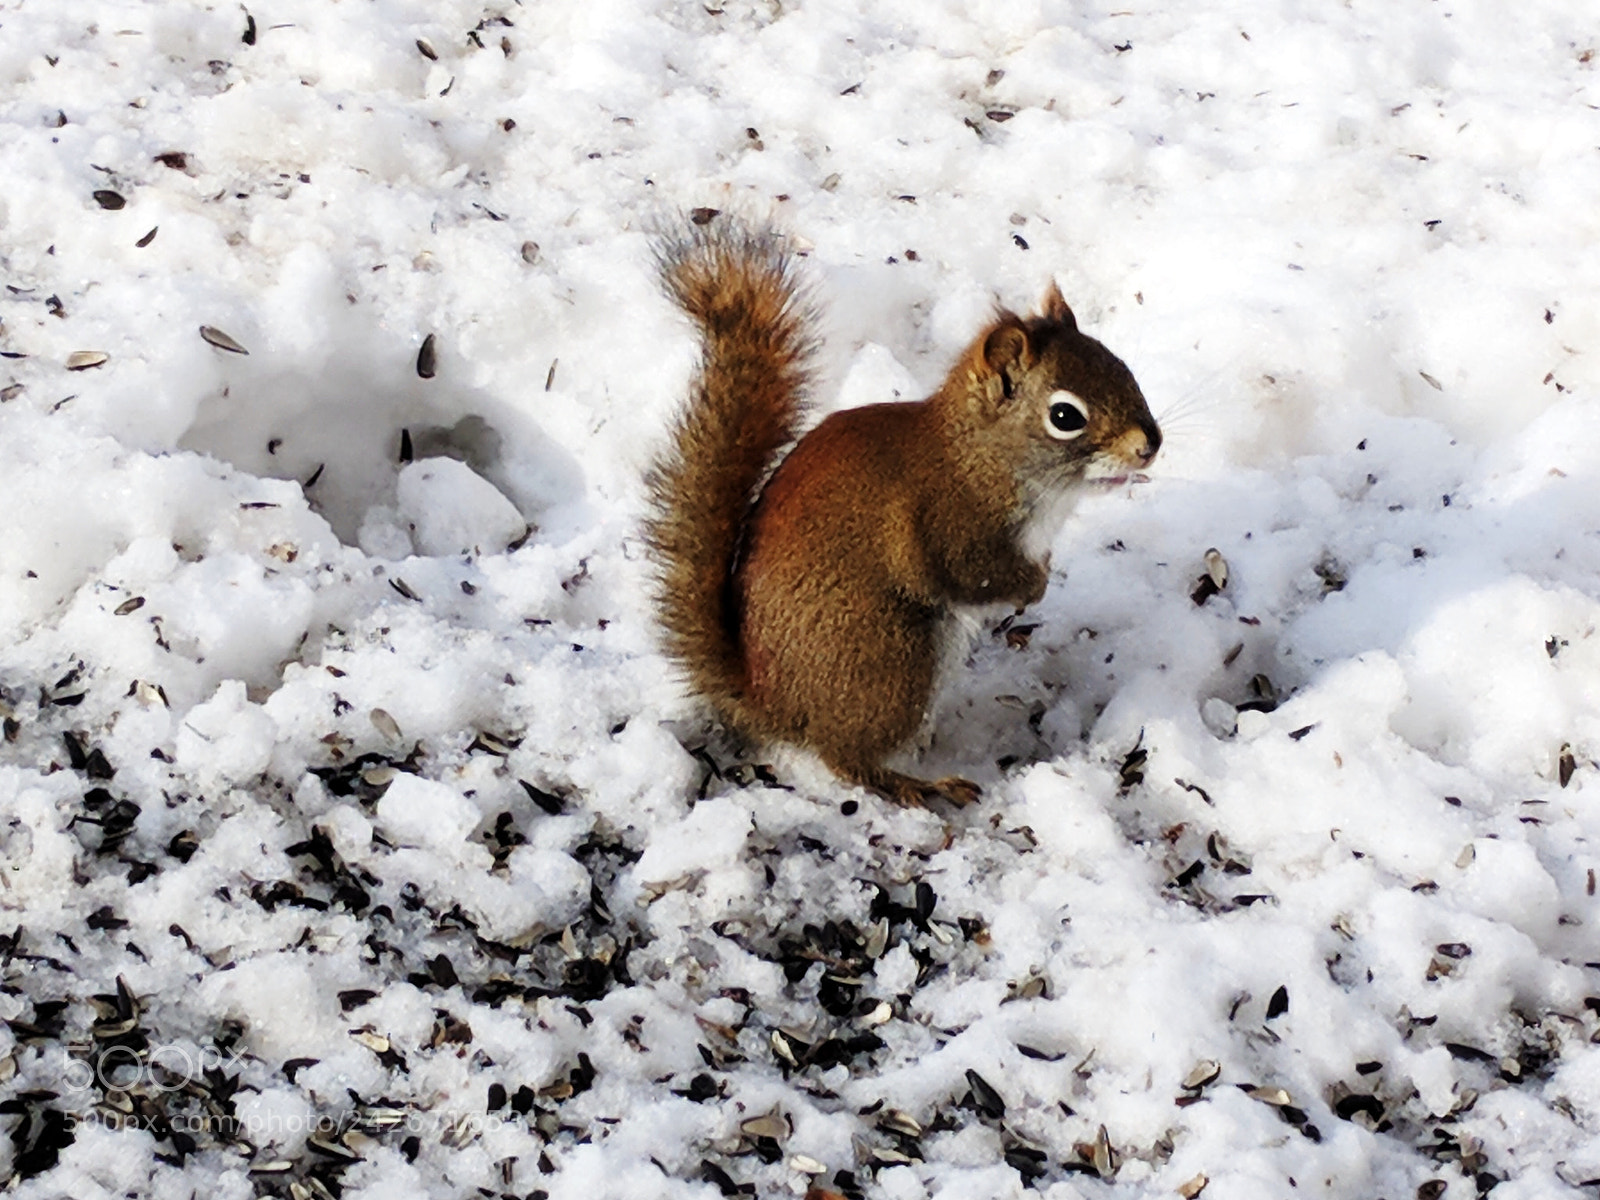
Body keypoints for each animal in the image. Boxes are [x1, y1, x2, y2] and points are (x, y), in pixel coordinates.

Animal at [644, 216, 1161, 807]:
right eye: (1065, 416)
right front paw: (1033, 587)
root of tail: (772, 704)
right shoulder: (950, 525)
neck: (979, 454)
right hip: (893, 658)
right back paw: (922, 784)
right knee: (847, 758)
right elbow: (977, 574)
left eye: (1121, 367)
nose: (1150, 445)